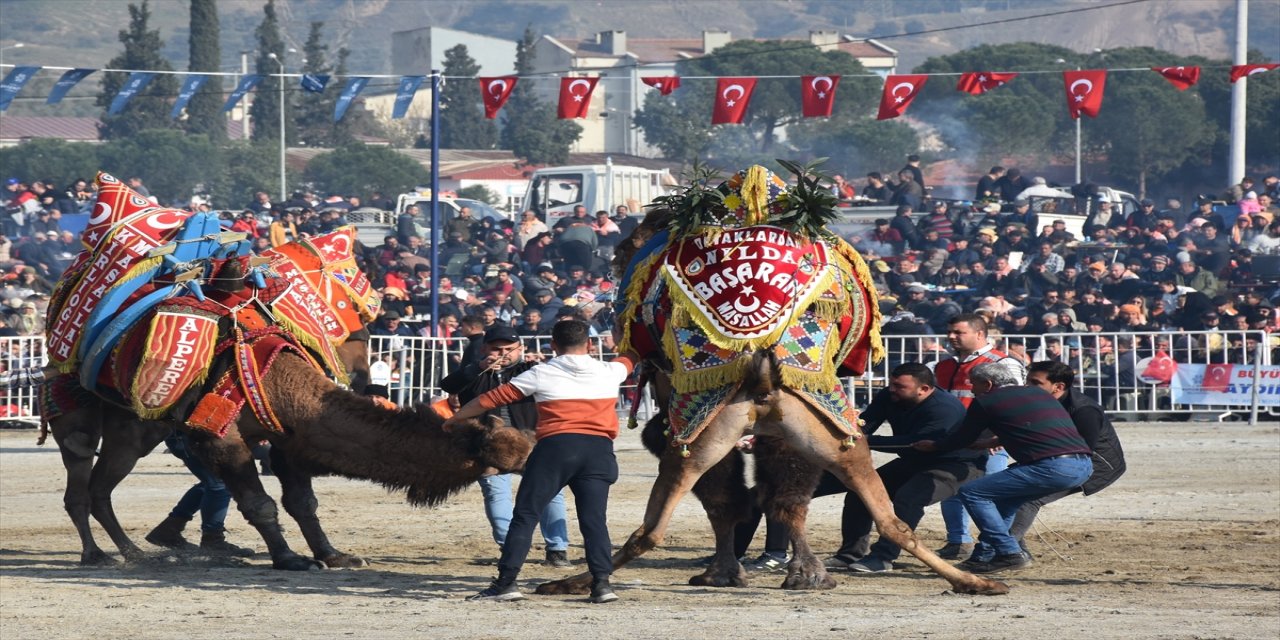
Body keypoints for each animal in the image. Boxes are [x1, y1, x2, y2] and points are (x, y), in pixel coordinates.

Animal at [38, 172, 529, 568]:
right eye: (507, 452)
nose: (532, 455)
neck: (277, 379)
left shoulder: (290, 437)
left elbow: (303, 502)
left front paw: (334, 555)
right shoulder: (221, 437)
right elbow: (260, 505)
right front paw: (291, 558)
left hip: (136, 426)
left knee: (101, 487)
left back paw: (134, 552)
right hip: (75, 409)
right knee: (80, 478)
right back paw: (98, 555)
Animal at [535, 162, 1003, 596]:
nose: (616, 259)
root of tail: (760, 363)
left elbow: (731, 494)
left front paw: (725, 573)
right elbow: (776, 496)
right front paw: (783, 571)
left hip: (700, 430)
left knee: (661, 522)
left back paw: (576, 581)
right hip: (829, 431)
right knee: (885, 516)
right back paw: (968, 581)